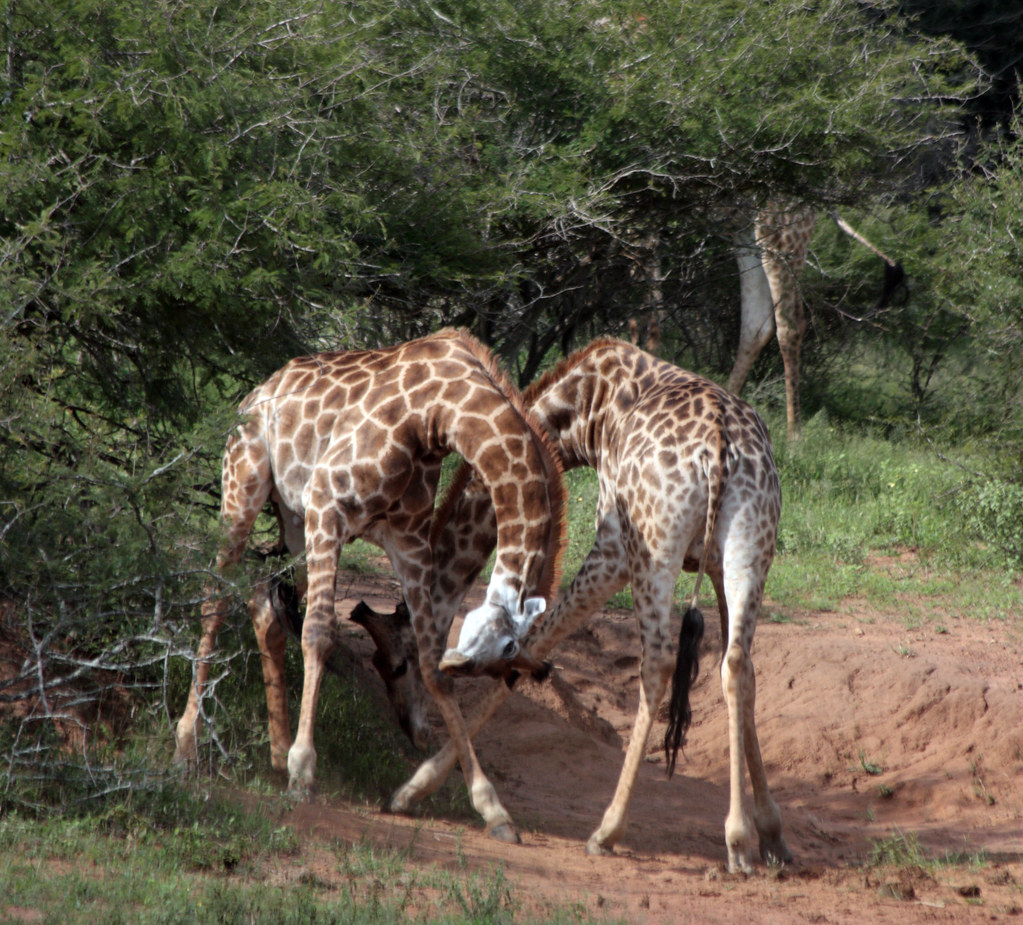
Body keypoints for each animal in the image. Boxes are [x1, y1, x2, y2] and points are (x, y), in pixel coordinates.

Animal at [173, 329, 566, 834]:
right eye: (508, 649)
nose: (416, 735)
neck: (442, 413)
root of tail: (256, 392)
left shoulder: (408, 541)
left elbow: (432, 663)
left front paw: (492, 808)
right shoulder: (329, 507)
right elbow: (320, 633)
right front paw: (305, 771)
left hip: (293, 519)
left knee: (267, 602)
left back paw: (276, 754)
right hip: (243, 486)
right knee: (217, 598)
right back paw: (188, 747)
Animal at [371, 338, 787, 873]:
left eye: (398, 663)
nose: (412, 729)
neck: (590, 410)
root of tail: (718, 447)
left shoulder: (611, 547)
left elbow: (537, 638)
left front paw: (414, 790)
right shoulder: (714, 568)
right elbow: (742, 674)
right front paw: (770, 832)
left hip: (651, 547)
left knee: (657, 663)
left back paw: (609, 831)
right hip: (751, 545)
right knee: (735, 662)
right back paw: (739, 840)